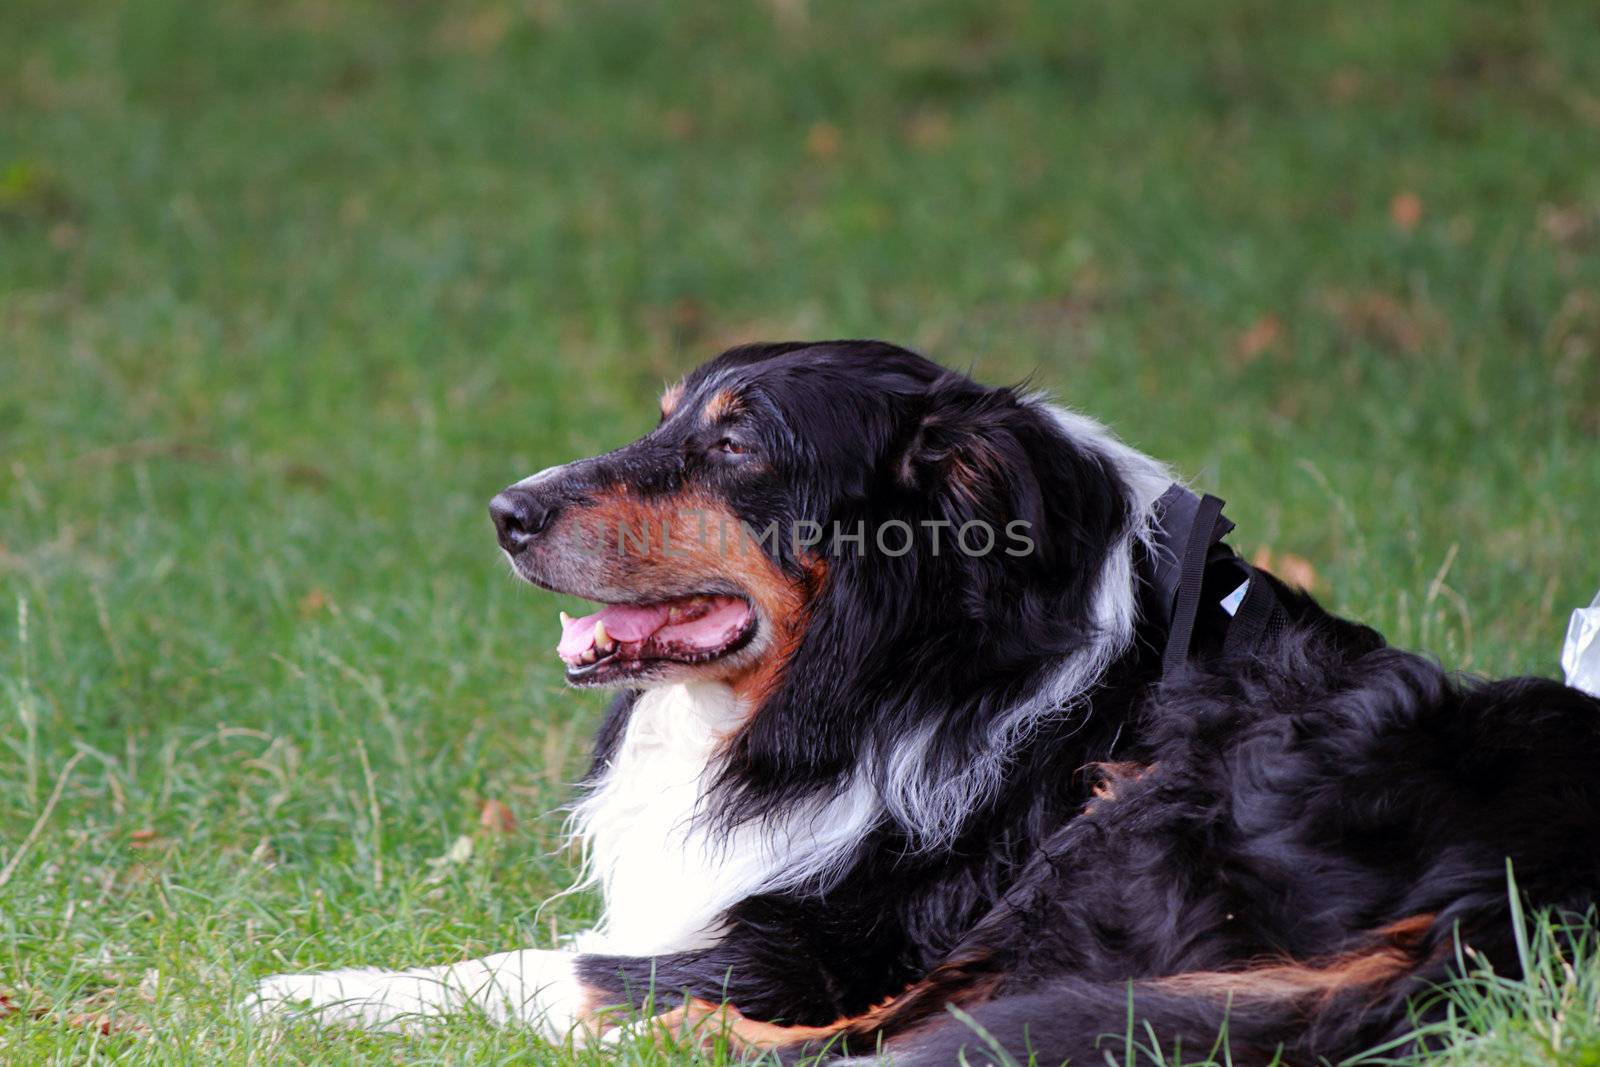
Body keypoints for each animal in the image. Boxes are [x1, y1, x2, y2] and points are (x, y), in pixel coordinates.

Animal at [249, 342, 1600, 1067]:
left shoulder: (795, 945)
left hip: (1117, 837)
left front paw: (309, 990)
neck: (894, 667)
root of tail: (1525, 895)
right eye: (666, 415)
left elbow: (553, 966)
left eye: (737, 445)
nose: (505, 512)